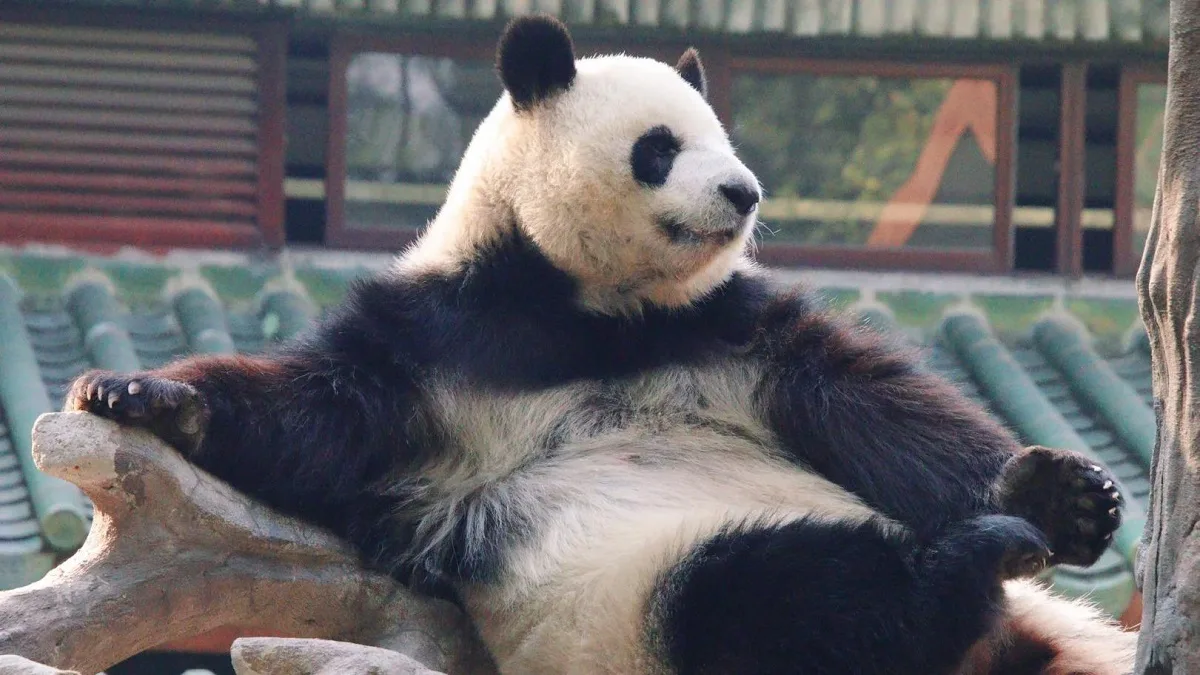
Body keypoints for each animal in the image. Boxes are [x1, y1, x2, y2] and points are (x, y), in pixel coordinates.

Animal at [66, 15, 1137, 675]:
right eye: (660, 146)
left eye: (725, 138)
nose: (743, 191)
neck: (592, 311)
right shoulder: (437, 342)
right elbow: (313, 415)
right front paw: (142, 396)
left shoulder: (728, 332)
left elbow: (872, 405)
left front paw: (1066, 494)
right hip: (637, 601)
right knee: (781, 597)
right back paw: (961, 565)